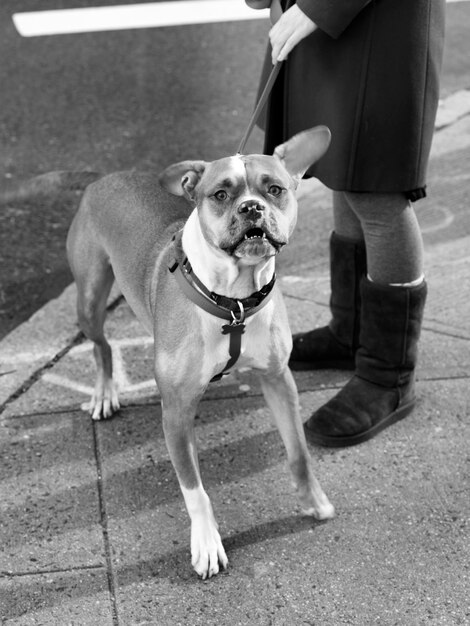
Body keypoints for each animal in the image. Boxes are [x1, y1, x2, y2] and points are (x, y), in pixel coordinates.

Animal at [66, 124, 334, 576]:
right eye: (220, 194)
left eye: (275, 189)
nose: (251, 207)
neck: (234, 300)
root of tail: (105, 177)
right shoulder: (174, 411)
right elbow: (194, 490)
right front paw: (207, 543)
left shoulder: (279, 380)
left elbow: (298, 453)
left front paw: (313, 501)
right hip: (89, 297)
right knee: (101, 345)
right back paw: (104, 392)